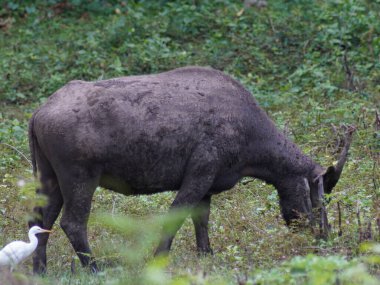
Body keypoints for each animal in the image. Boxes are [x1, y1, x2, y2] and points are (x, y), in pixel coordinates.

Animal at [29, 65, 354, 272]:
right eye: (318, 198)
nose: (326, 237)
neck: (254, 151)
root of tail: (36, 115)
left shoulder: (208, 184)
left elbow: (202, 222)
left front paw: (206, 255)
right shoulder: (200, 173)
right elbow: (175, 219)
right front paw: (157, 260)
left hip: (48, 176)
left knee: (39, 220)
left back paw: (39, 270)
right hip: (80, 175)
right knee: (72, 222)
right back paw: (96, 268)